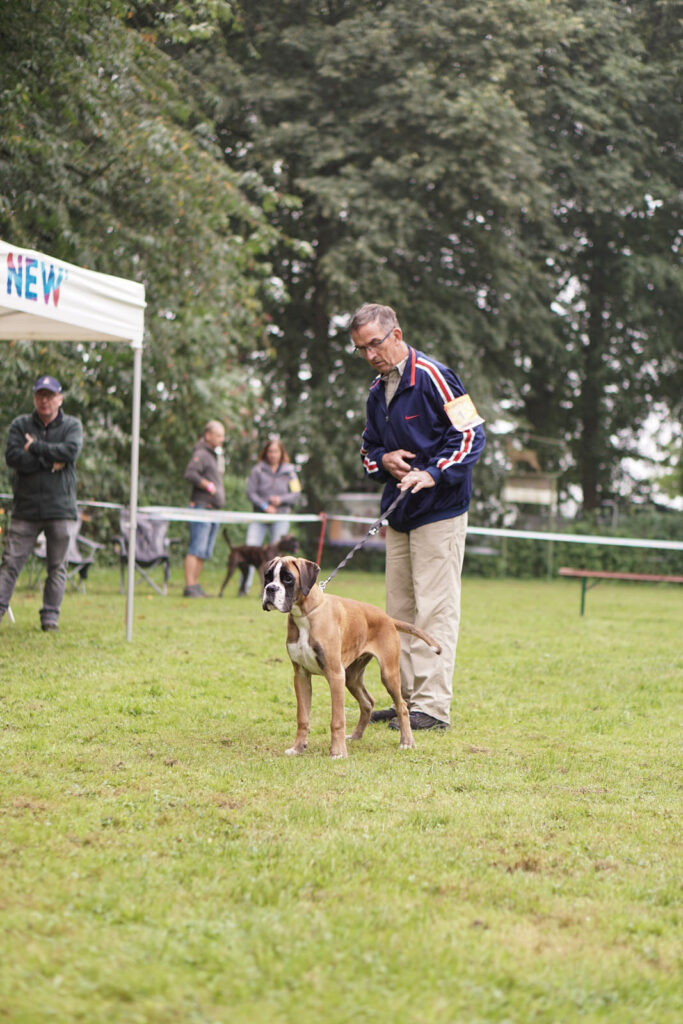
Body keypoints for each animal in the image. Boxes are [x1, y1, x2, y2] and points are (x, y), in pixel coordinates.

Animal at [262, 557, 444, 757]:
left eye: (288, 578)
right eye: (267, 577)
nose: (270, 588)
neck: (306, 614)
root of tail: (388, 618)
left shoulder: (335, 675)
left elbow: (337, 720)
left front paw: (338, 752)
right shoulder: (301, 676)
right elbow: (302, 717)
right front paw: (297, 747)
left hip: (387, 675)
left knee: (402, 706)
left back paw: (407, 742)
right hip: (352, 677)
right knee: (368, 703)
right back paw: (356, 735)